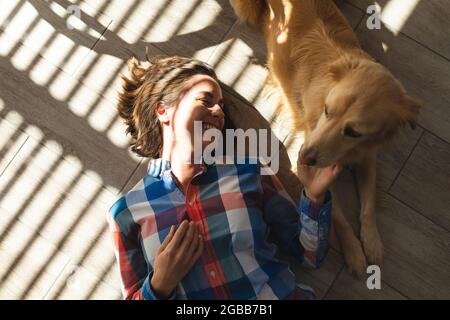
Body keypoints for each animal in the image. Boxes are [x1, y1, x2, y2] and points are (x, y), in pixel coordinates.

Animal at [230, 0, 424, 276]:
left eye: (354, 132)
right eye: (327, 110)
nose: (304, 157)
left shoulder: (367, 157)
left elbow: (369, 203)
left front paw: (372, 242)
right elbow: (339, 218)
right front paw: (354, 251)